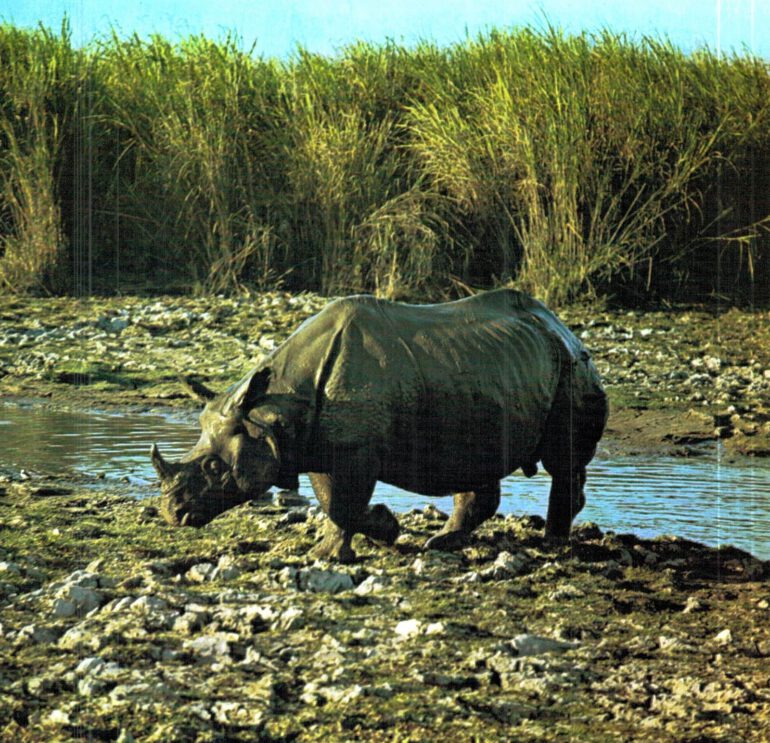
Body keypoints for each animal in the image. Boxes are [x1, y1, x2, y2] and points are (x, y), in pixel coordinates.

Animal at [151, 289, 608, 562]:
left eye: (214, 467)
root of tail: (562, 326)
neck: (270, 412)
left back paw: (553, 545)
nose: (172, 513)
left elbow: (342, 503)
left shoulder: (353, 449)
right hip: (493, 371)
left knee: (562, 461)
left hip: (571, 369)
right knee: (478, 460)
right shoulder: (319, 444)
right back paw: (442, 542)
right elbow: (335, 501)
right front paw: (374, 534)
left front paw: (346, 547)